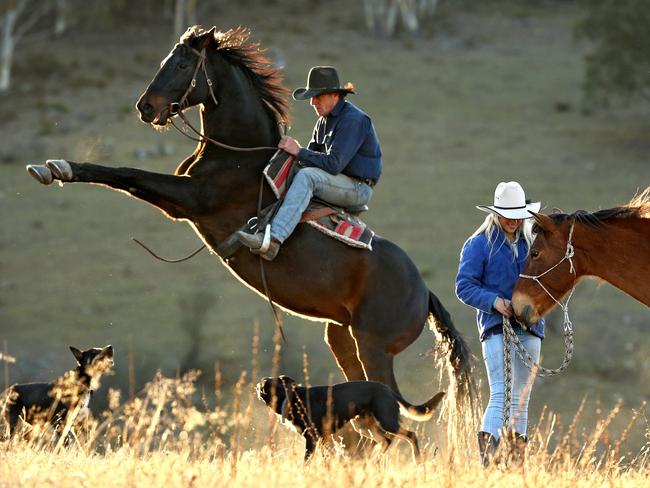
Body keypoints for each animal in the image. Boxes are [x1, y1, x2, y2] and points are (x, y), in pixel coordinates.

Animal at [25, 24, 470, 394]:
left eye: (182, 63)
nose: (145, 107)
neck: (239, 157)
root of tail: (424, 292)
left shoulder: (190, 198)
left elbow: (123, 173)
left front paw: (56, 168)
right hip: (343, 338)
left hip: (374, 348)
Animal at [256, 374, 442, 462]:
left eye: (262, 385)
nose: (257, 386)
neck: (290, 397)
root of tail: (387, 389)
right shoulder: (323, 438)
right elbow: (327, 457)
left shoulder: (312, 439)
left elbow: (307, 461)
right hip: (363, 426)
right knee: (386, 441)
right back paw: (372, 462)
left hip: (386, 420)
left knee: (411, 436)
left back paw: (417, 460)